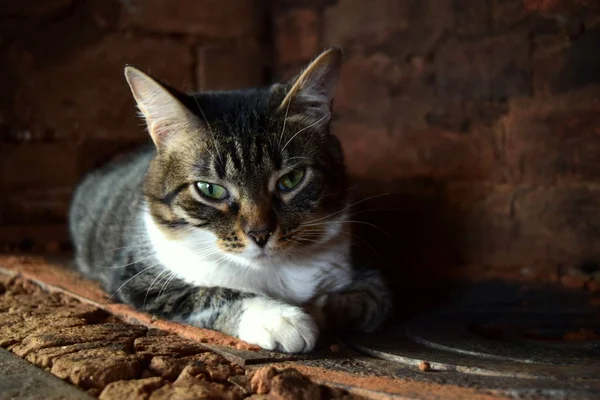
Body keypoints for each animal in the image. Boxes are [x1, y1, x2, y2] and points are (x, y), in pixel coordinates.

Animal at [68, 48, 392, 352]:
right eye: (210, 189)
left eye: (292, 179)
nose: (260, 234)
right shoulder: (141, 281)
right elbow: (207, 292)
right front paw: (281, 318)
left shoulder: (364, 276)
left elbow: (366, 302)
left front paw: (315, 308)